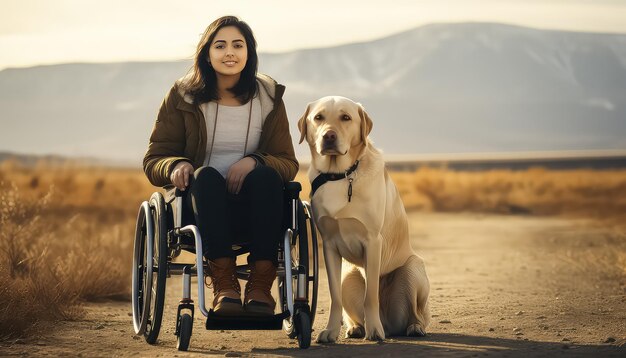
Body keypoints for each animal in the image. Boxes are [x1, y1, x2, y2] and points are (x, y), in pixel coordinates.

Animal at [298, 96, 428, 342]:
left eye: (345, 117)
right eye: (318, 117)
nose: (329, 136)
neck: (341, 175)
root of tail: (390, 324)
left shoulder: (373, 241)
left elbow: (371, 296)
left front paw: (374, 330)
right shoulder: (328, 245)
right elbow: (335, 297)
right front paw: (330, 331)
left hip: (413, 268)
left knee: (419, 313)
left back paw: (411, 327)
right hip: (349, 274)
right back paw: (356, 327)